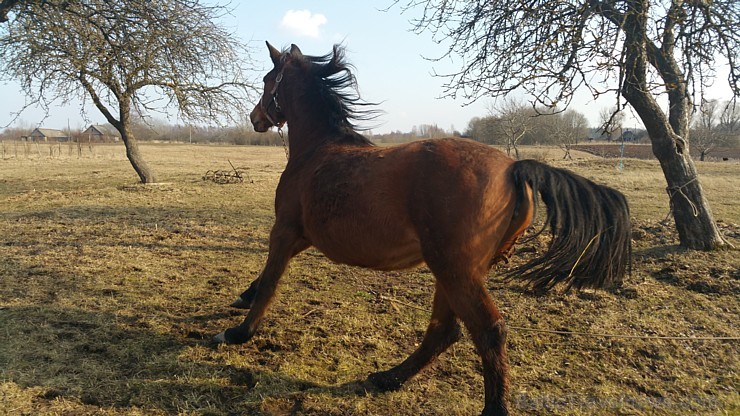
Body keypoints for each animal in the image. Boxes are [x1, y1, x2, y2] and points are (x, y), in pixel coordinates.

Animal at [215, 43, 632, 416]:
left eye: (268, 80)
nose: (255, 118)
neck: (318, 151)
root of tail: (514, 168)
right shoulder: (305, 235)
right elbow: (263, 278)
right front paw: (242, 297)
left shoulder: (285, 229)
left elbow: (271, 280)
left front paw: (238, 333)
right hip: (455, 270)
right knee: (444, 331)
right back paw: (388, 378)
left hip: (454, 269)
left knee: (488, 330)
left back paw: (489, 407)